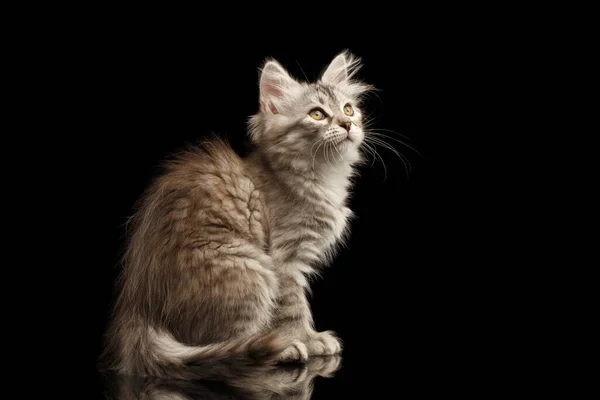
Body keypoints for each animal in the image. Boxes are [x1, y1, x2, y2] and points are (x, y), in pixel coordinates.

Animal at [103, 49, 376, 378]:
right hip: (248, 266)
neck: (320, 176)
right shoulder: (285, 259)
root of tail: (137, 309)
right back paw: (282, 349)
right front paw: (306, 340)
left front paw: (310, 338)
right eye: (317, 114)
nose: (348, 125)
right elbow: (294, 308)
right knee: (229, 342)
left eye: (348, 109)